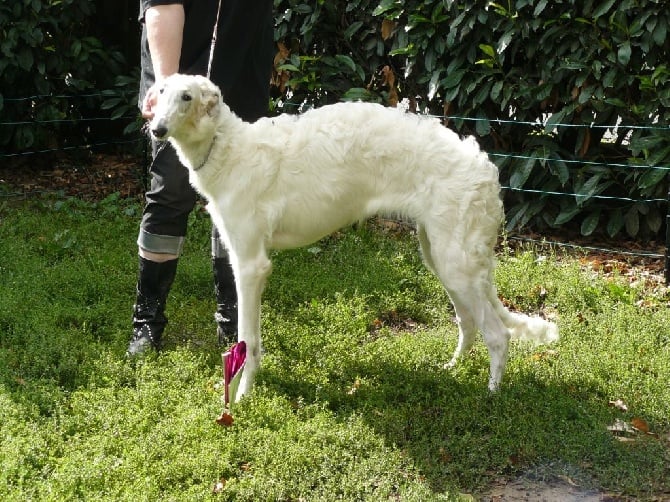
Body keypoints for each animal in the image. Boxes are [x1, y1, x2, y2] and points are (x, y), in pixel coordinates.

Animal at [150, 73, 560, 400]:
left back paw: (491, 395)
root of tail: (484, 167)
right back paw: (452, 368)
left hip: (456, 263)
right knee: (469, 322)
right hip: (443, 258)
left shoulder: (252, 264)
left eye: (186, 97)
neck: (227, 147)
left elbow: (248, 341)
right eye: (160, 92)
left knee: (497, 334)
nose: (156, 129)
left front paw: (242, 397)